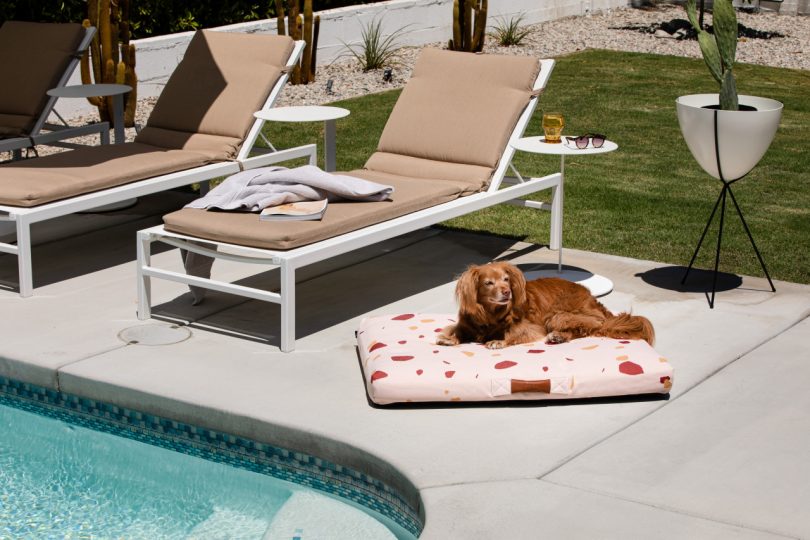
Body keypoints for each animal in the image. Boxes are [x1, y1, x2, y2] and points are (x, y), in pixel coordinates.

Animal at [432, 262, 652, 350]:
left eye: (506, 279)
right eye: (489, 283)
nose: (507, 292)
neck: (490, 313)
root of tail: (591, 296)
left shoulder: (530, 327)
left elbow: (513, 334)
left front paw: (498, 341)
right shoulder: (467, 322)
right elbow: (456, 330)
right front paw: (450, 338)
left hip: (558, 315)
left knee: (590, 326)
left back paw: (559, 335)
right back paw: (558, 337)